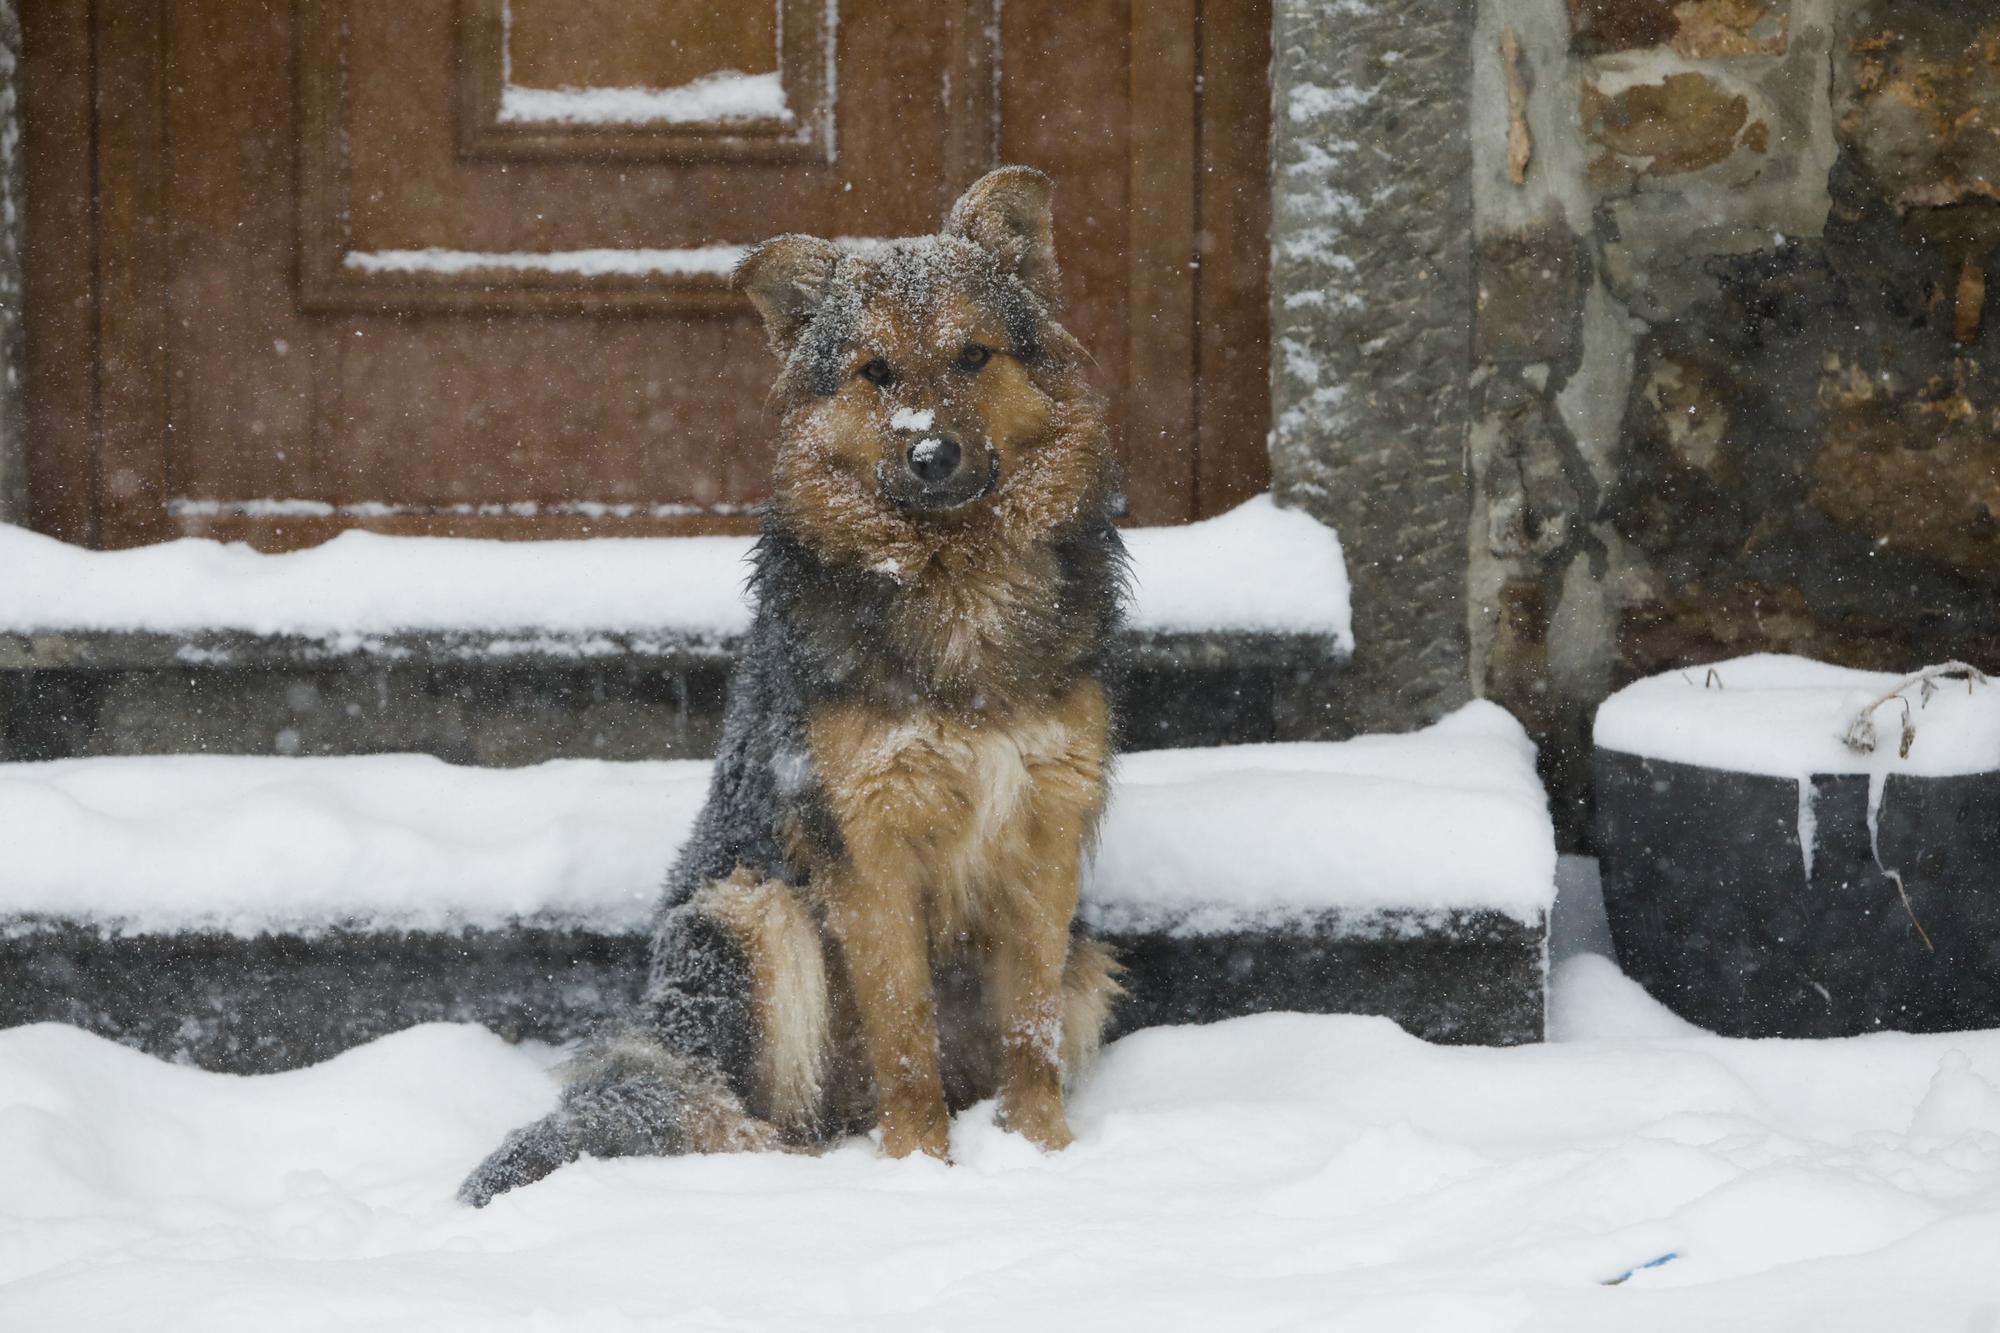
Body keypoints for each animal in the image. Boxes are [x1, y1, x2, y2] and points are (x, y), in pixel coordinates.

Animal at [458, 166, 1136, 1200]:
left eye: (973, 356)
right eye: (874, 371)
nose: (931, 455)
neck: (953, 579)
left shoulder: (1046, 823)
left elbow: (1032, 1033)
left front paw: (1044, 1155)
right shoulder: (867, 837)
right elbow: (905, 1034)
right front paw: (920, 1167)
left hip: (1089, 960)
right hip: (750, 913)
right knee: (729, 1116)